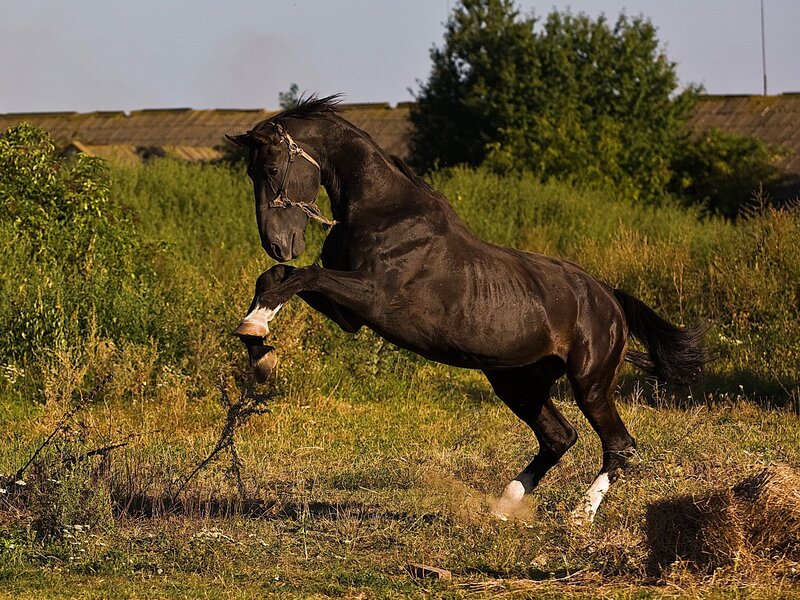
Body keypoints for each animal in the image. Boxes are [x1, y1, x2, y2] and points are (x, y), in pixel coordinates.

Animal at [225, 95, 709, 523]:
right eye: (250, 172)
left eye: (271, 169)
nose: (278, 243)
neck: (382, 211)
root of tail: (609, 298)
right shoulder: (351, 316)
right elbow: (276, 278)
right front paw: (258, 346)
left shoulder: (371, 298)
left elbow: (300, 276)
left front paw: (257, 337)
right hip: (517, 382)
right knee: (560, 437)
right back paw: (504, 506)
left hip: (589, 383)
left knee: (619, 445)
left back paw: (579, 515)